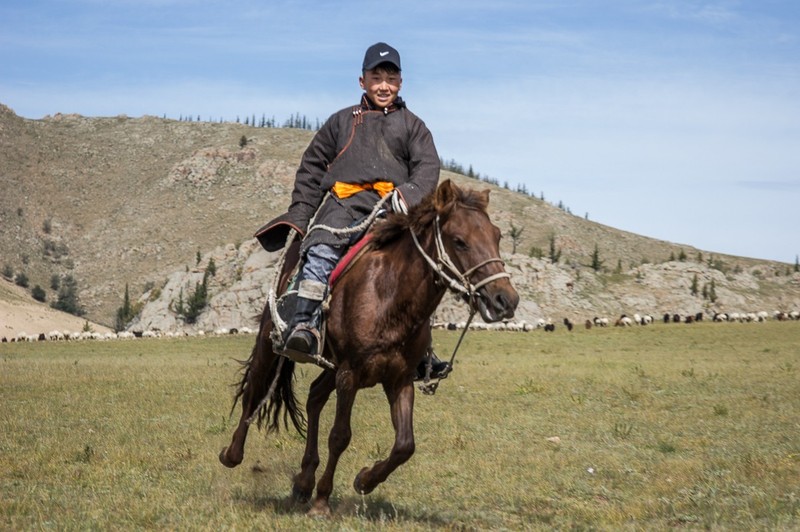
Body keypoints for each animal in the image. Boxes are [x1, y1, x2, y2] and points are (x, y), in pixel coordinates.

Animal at [219, 179, 520, 516]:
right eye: (460, 241)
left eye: (497, 236)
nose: (506, 300)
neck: (389, 295)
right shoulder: (349, 374)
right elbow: (340, 436)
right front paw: (323, 501)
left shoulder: (398, 379)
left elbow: (405, 445)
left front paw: (364, 479)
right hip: (271, 342)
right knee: (255, 388)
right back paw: (233, 454)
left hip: (333, 366)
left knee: (314, 396)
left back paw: (303, 482)